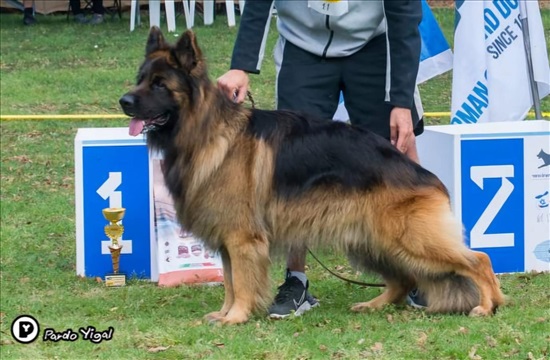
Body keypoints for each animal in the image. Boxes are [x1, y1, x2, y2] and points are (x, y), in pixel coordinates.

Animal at [118, 28, 506, 324]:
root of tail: (426, 177)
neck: (206, 132)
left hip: (409, 239)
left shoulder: (241, 240)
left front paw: (237, 316)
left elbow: (241, 283)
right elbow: (229, 282)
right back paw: (375, 304)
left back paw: (489, 305)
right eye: (140, 80)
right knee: (402, 279)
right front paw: (226, 313)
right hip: (371, 242)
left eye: (159, 84)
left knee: (479, 260)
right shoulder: (228, 241)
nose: (124, 101)